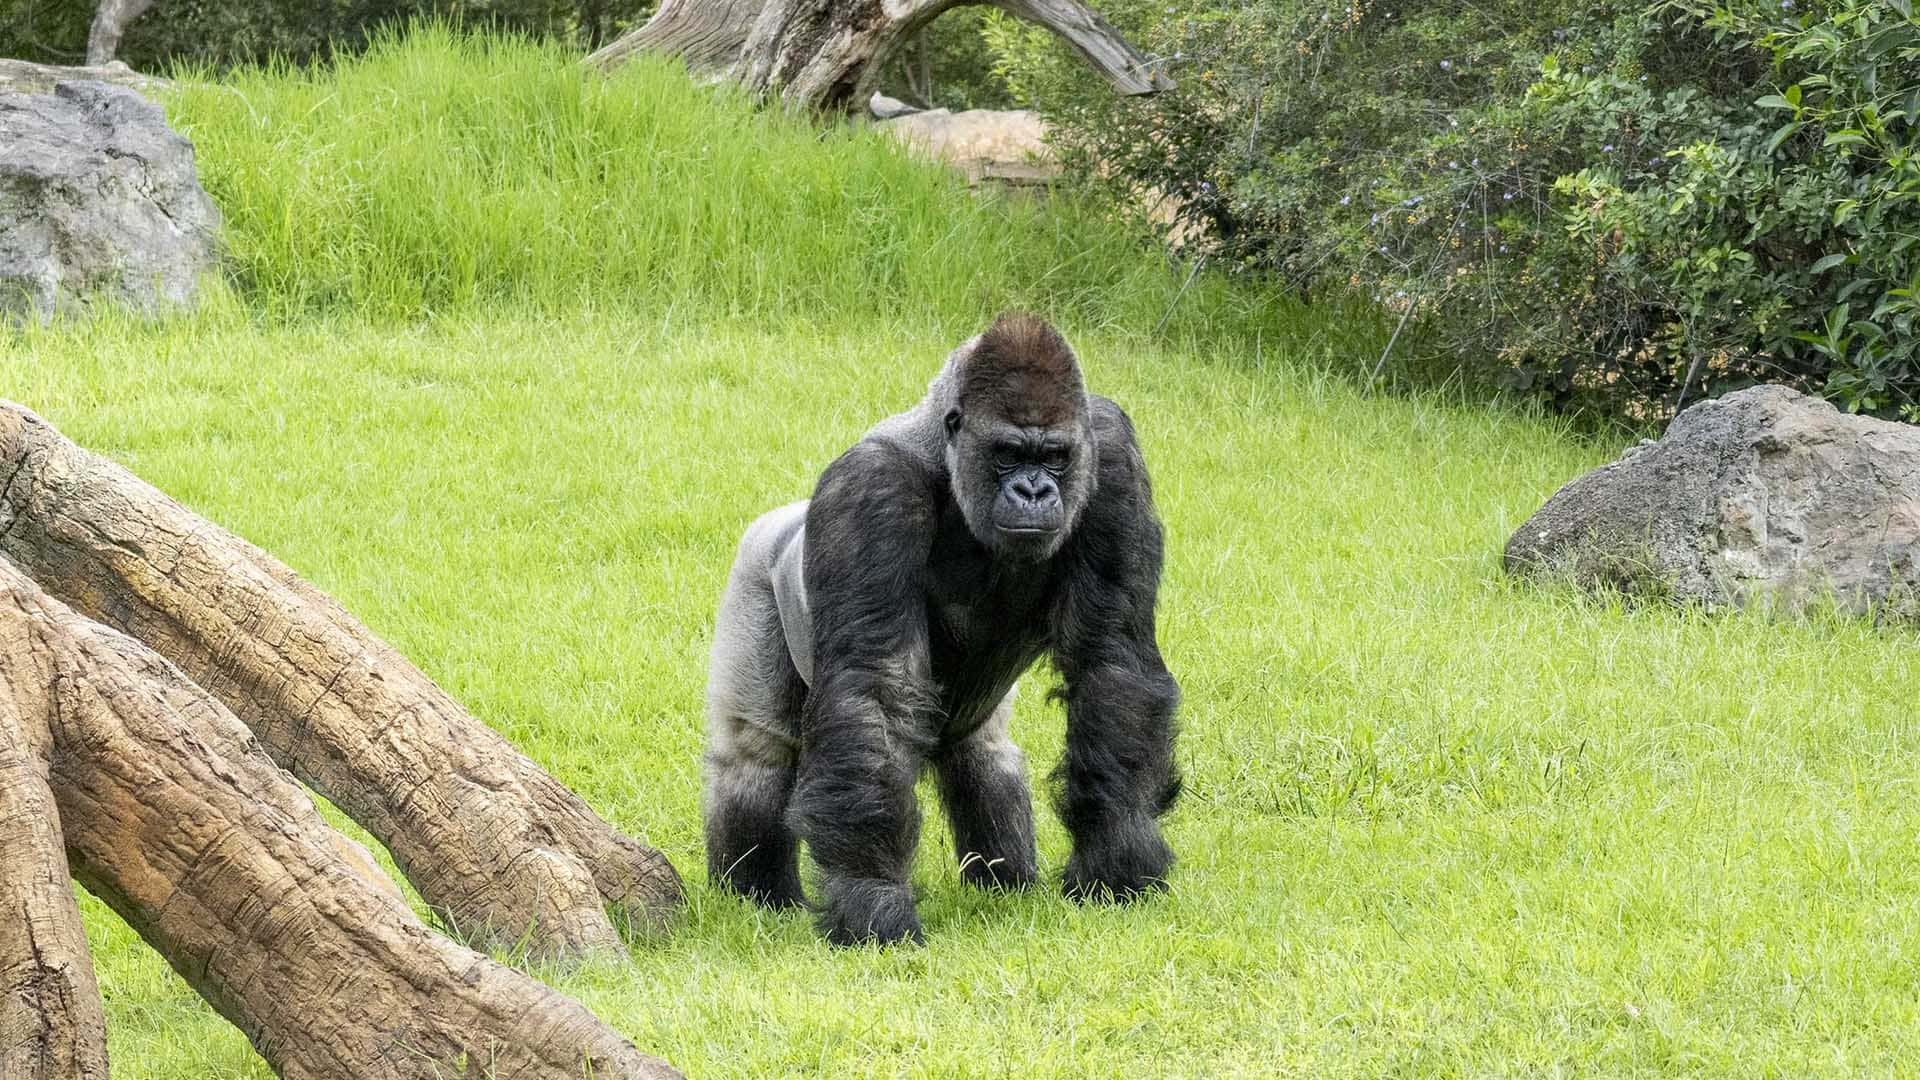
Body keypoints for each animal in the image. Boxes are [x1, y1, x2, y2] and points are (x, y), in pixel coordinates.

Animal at [706, 313, 1182, 941]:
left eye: (1054, 457)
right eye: (1008, 453)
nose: (1034, 491)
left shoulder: (1112, 454)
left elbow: (1111, 659)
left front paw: (1116, 854)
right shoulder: (873, 490)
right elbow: (875, 690)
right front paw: (872, 898)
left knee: (982, 751)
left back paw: (1005, 883)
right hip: (755, 567)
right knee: (757, 752)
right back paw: (755, 898)